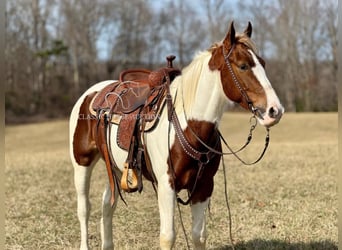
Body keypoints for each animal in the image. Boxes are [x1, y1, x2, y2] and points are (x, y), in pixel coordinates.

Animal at [69, 22, 284, 250]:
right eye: (243, 66)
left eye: (263, 63)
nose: (275, 110)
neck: (189, 126)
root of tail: (93, 93)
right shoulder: (166, 185)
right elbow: (168, 236)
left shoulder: (204, 186)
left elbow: (199, 235)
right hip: (82, 163)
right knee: (84, 208)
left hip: (117, 168)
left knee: (107, 205)